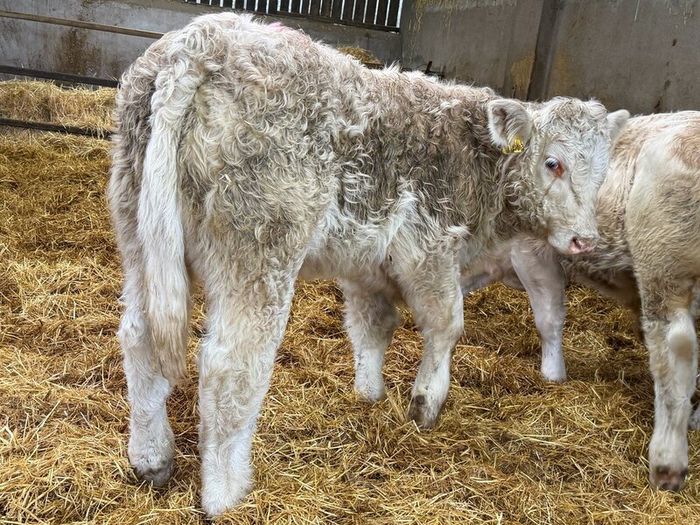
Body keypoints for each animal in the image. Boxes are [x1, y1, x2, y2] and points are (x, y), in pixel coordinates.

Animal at [107, 13, 628, 515]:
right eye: (553, 163)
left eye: (603, 171)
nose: (584, 239)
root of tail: (201, 42)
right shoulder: (431, 248)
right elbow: (447, 325)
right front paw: (426, 404)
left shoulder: (366, 268)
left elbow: (372, 328)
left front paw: (368, 396)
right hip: (261, 250)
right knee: (230, 366)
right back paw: (226, 496)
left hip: (140, 236)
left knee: (139, 337)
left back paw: (151, 460)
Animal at [458, 112, 700, 493]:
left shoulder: (533, 254)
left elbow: (550, 318)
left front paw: (553, 376)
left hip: (663, 262)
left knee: (675, 346)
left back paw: (668, 459)